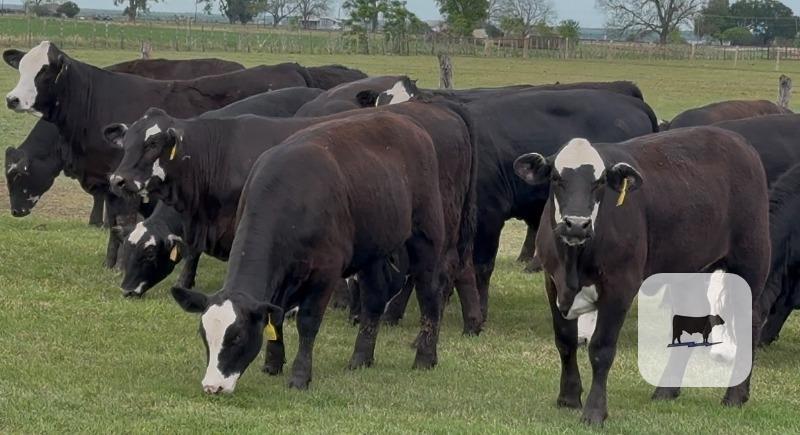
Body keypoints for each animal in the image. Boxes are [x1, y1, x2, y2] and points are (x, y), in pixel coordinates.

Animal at [106, 101, 482, 334]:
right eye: (127, 143)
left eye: (153, 144)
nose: (118, 179)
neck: (220, 154)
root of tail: (444, 111)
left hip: (439, 228)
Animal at [170, 111, 447, 393]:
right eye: (204, 336)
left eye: (237, 337)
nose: (212, 386)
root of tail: (406, 122)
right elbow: (275, 317)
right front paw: (273, 363)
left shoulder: (325, 272)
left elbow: (307, 322)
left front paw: (300, 375)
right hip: (373, 247)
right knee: (374, 298)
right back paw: (361, 357)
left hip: (426, 232)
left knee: (429, 293)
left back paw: (425, 357)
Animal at [512, 127, 769, 425]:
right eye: (556, 178)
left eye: (600, 181)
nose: (576, 224)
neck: (573, 263)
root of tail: (737, 140)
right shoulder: (553, 281)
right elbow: (565, 340)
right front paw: (568, 397)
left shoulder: (620, 285)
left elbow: (601, 349)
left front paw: (595, 410)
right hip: (688, 270)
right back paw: (667, 390)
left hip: (750, 262)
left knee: (749, 322)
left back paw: (735, 395)